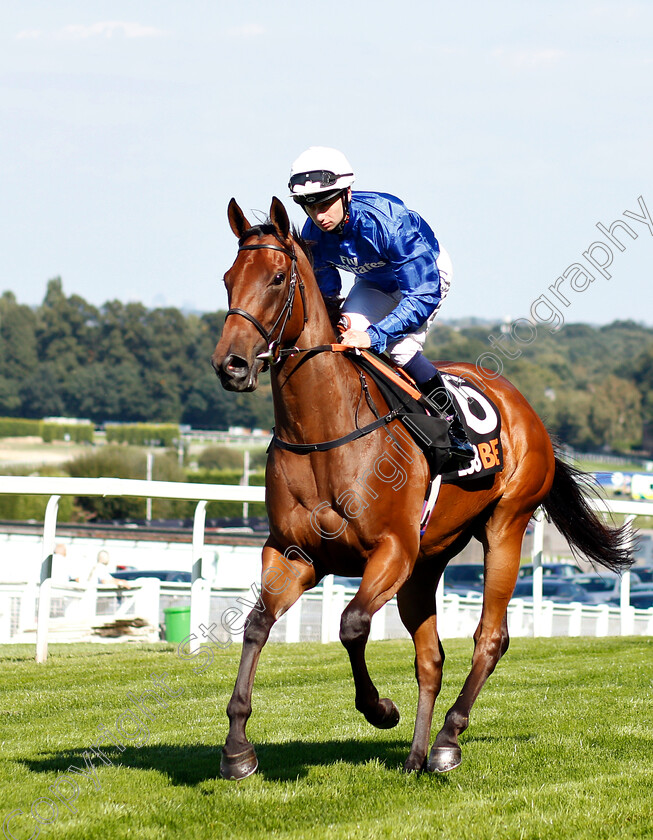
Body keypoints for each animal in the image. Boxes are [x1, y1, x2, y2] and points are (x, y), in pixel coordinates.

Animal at [210, 197, 632, 780]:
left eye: (276, 278)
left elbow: (352, 624)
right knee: (431, 657)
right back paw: (415, 755)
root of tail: (523, 406)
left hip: (505, 526)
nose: (230, 364)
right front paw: (237, 749)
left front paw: (379, 708)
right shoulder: (293, 554)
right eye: (228, 278)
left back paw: (448, 741)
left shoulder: (391, 550)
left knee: (489, 639)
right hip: (427, 563)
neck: (324, 433)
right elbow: (255, 625)